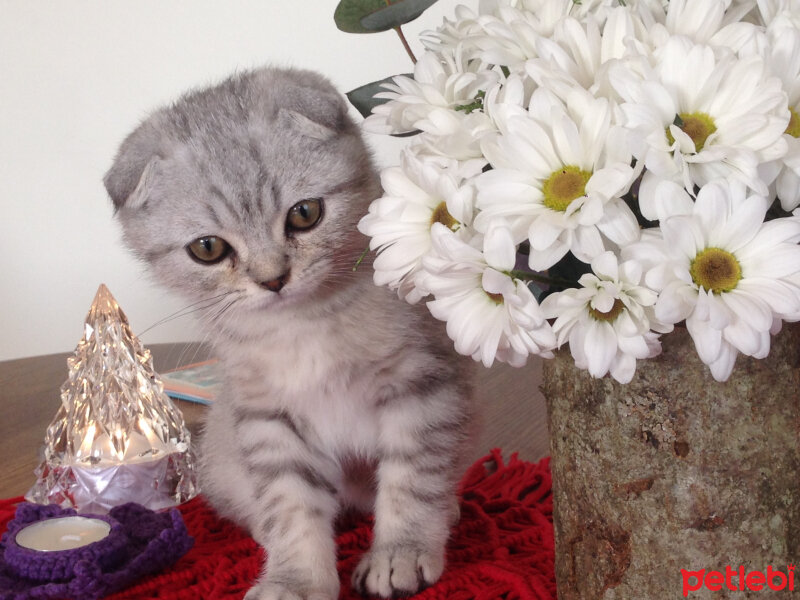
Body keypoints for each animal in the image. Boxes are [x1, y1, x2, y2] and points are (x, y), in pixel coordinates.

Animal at [108, 68, 482, 596]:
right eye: (207, 248)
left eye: (305, 214)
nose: (273, 279)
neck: (304, 327)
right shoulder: (268, 416)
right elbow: (292, 505)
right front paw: (297, 579)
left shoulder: (422, 383)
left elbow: (413, 479)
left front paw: (400, 551)